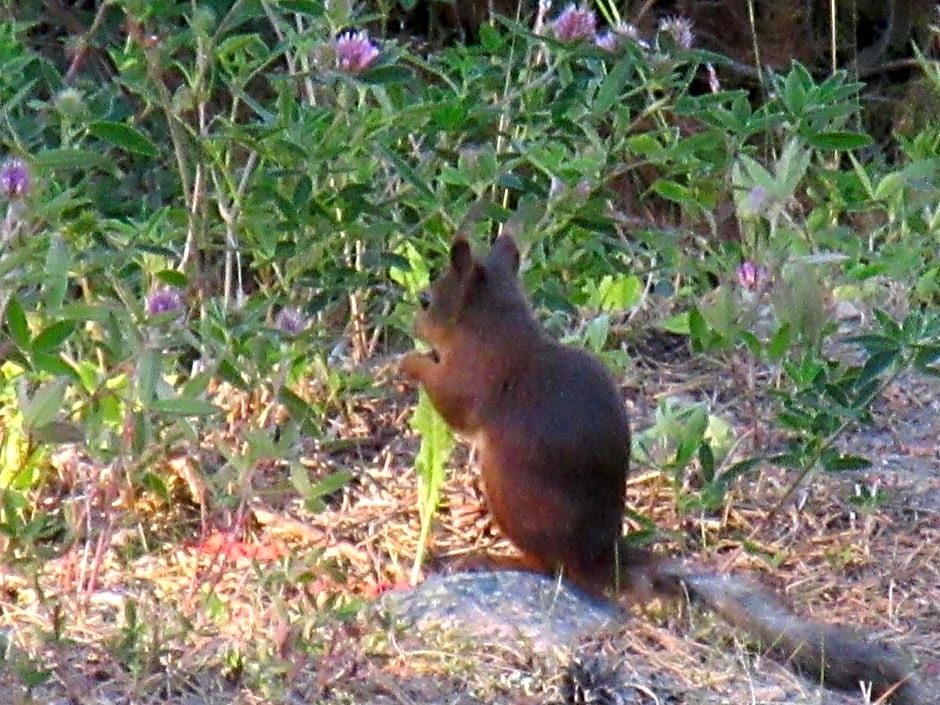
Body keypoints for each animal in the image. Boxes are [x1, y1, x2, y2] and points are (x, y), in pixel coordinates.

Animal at [396, 234, 924, 700]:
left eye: (426, 299)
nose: (412, 325)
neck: (495, 328)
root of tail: (604, 557)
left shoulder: (473, 376)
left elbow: (452, 402)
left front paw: (409, 363)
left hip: (512, 496)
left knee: (553, 568)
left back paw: (494, 558)